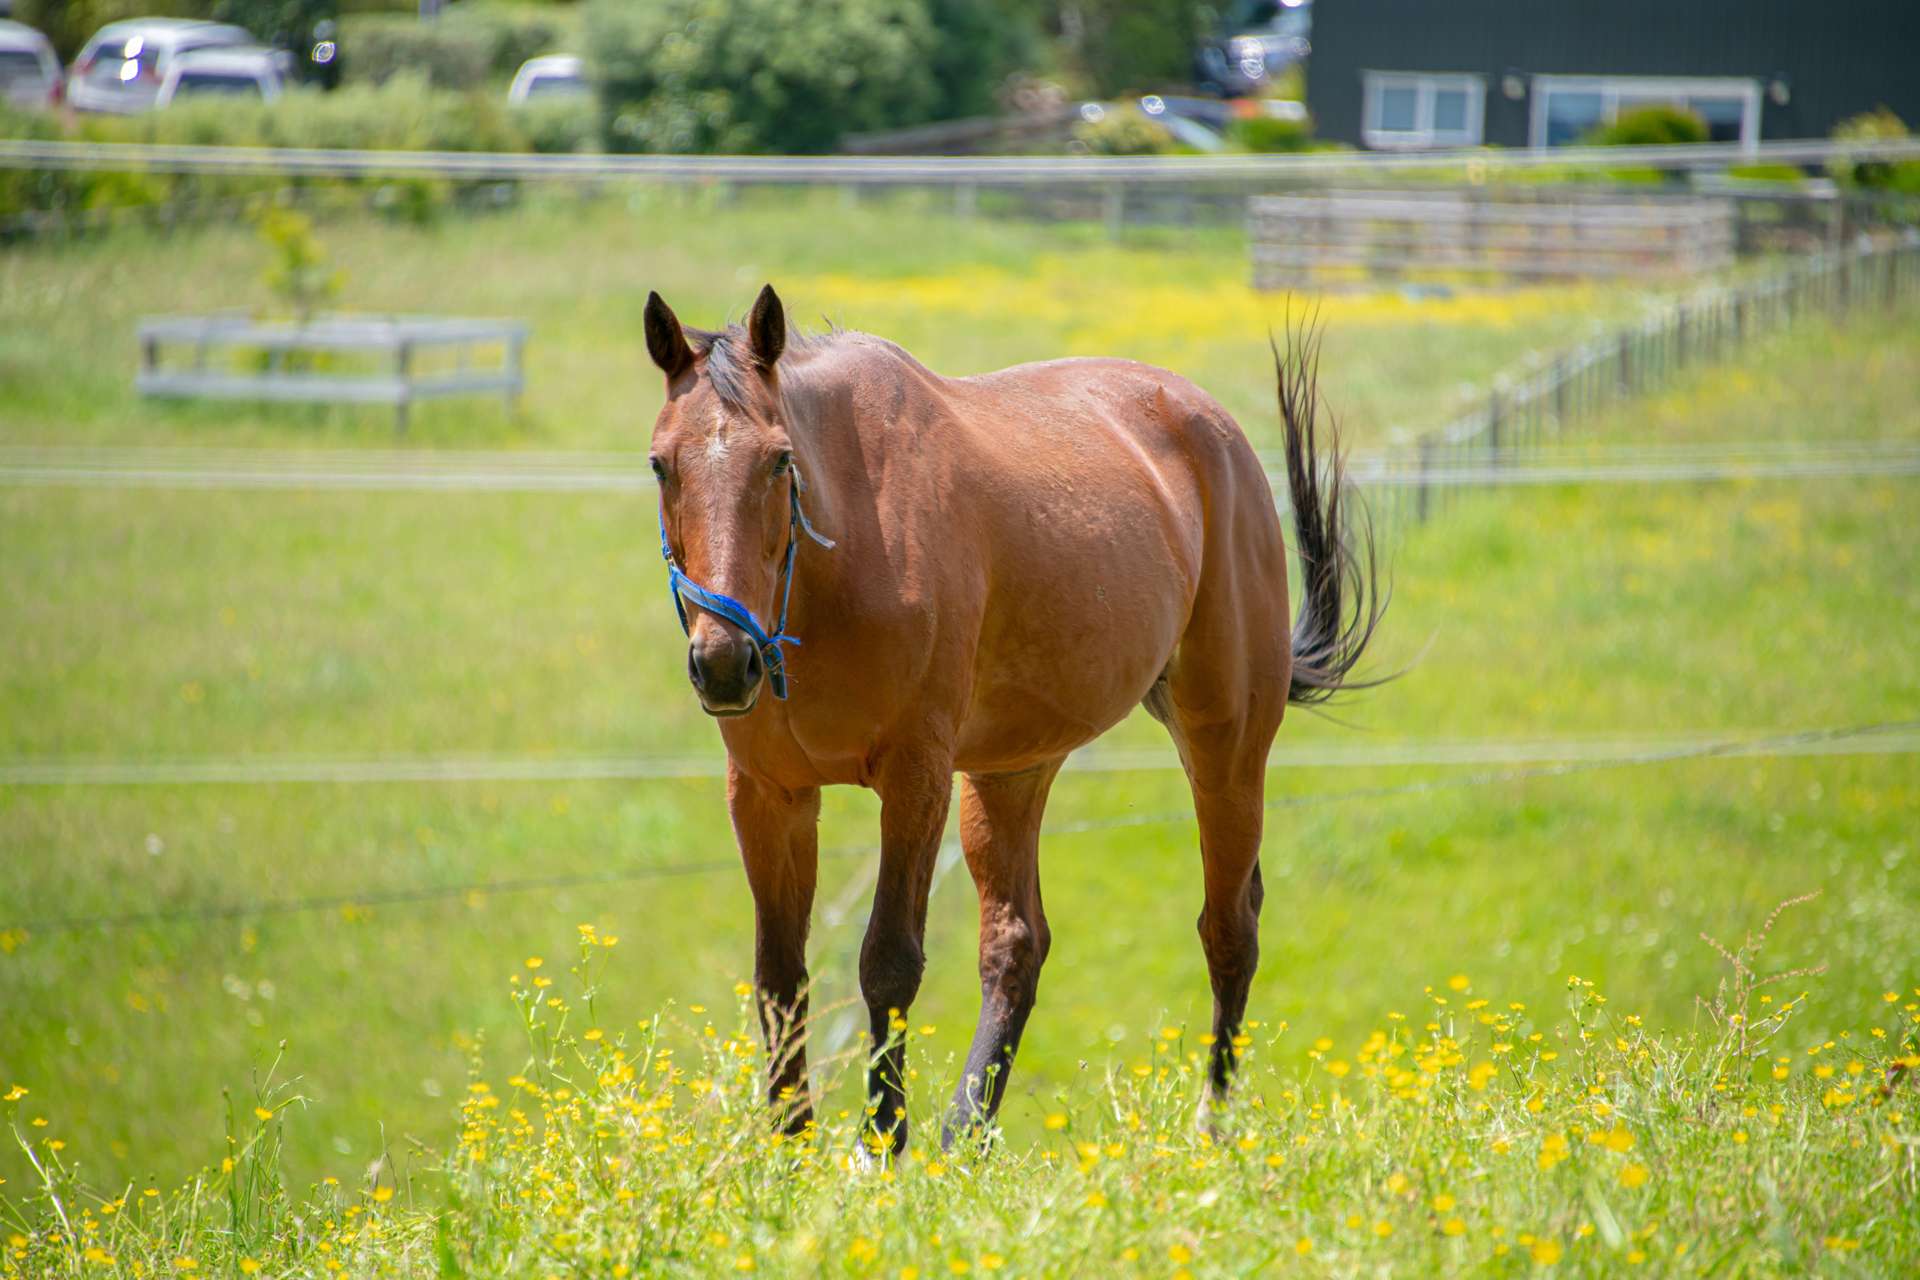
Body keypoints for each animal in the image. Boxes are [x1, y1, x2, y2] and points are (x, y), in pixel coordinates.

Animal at [641, 287, 1382, 1151]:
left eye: (779, 460)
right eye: (661, 464)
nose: (725, 663)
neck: (845, 551)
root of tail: (1216, 430)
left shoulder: (916, 777)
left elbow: (887, 961)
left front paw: (878, 1147)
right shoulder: (768, 793)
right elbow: (780, 978)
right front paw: (790, 1151)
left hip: (1225, 743)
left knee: (1230, 926)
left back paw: (1209, 1128)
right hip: (1010, 771)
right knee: (1016, 944)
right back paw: (965, 1137)